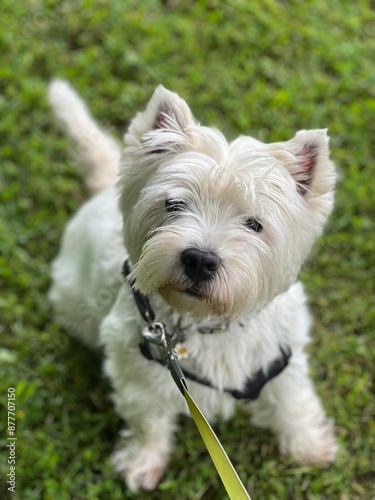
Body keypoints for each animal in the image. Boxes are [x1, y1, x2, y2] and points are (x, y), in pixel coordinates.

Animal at [47, 80, 338, 490]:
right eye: (174, 204)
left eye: (254, 224)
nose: (200, 260)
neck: (207, 323)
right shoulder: (138, 371)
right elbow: (148, 418)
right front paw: (142, 463)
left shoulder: (282, 357)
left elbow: (292, 399)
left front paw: (310, 445)